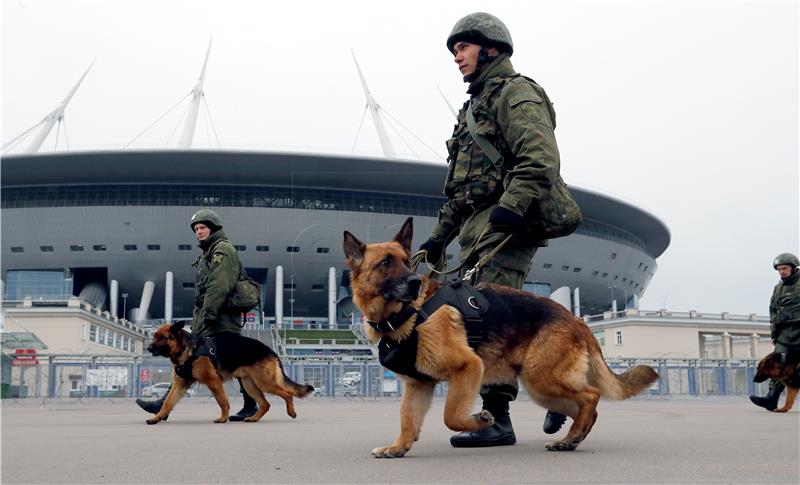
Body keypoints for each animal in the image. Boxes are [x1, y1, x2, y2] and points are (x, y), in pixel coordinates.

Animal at [145, 322, 312, 424]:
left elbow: (223, 401)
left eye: (163, 337)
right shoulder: (180, 384)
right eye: (154, 336)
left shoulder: (213, 381)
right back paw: (253, 418)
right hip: (250, 385)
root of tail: (271, 351)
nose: (148, 348)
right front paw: (157, 418)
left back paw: (291, 412)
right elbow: (167, 402)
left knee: (287, 394)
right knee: (265, 404)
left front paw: (223, 418)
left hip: (265, 383)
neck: (188, 350)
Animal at [344, 217, 656, 456]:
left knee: (591, 396)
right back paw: (570, 439)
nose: (413, 283)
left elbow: (451, 416)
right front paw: (398, 447)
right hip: (543, 389)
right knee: (585, 408)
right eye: (385, 262)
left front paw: (480, 422)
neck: (408, 314)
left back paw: (572, 435)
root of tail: (578, 320)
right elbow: (408, 421)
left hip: (541, 379)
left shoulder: (468, 368)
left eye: (407, 262)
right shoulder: (417, 386)